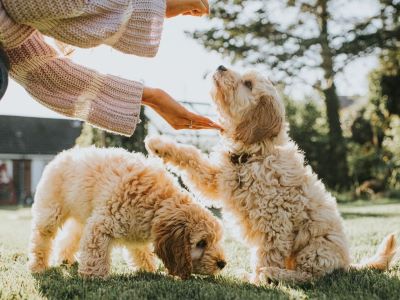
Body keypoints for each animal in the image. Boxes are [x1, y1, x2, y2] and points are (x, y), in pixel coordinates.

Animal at [28, 146, 227, 280]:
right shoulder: (101, 225)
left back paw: (65, 259)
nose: (222, 263)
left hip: (82, 217)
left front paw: (148, 269)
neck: (157, 200)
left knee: (70, 237)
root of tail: (62, 155)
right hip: (51, 212)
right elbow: (95, 254)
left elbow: (141, 252)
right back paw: (38, 266)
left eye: (217, 240)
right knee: (41, 238)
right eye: (201, 243)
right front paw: (93, 277)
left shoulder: (135, 230)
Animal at [146, 66, 396, 284]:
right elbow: (192, 156)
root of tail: (345, 263)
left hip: (315, 249)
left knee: (310, 276)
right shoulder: (217, 180)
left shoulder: (274, 222)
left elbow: (267, 253)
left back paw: (273, 274)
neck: (253, 155)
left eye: (248, 84)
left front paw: (257, 280)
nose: (220, 66)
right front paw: (158, 144)